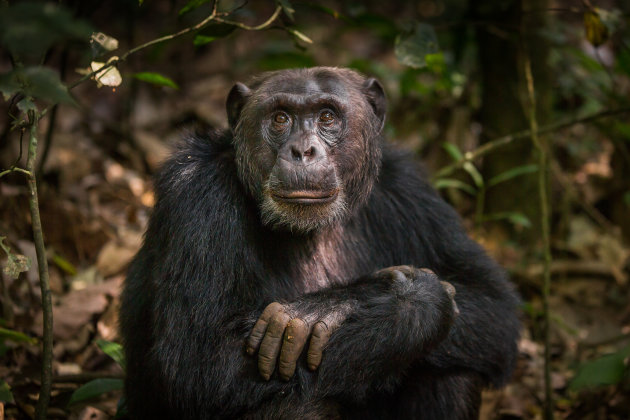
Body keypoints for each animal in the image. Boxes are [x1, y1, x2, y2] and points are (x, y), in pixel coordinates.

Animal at [119, 67, 524, 418]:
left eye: (327, 116)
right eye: (280, 118)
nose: (303, 151)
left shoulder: (408, 185)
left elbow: (493, 304)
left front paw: (328, 308)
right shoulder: (198, 194)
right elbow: (201, 363)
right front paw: (410, 299)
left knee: (452, 370)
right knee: (299, 403)